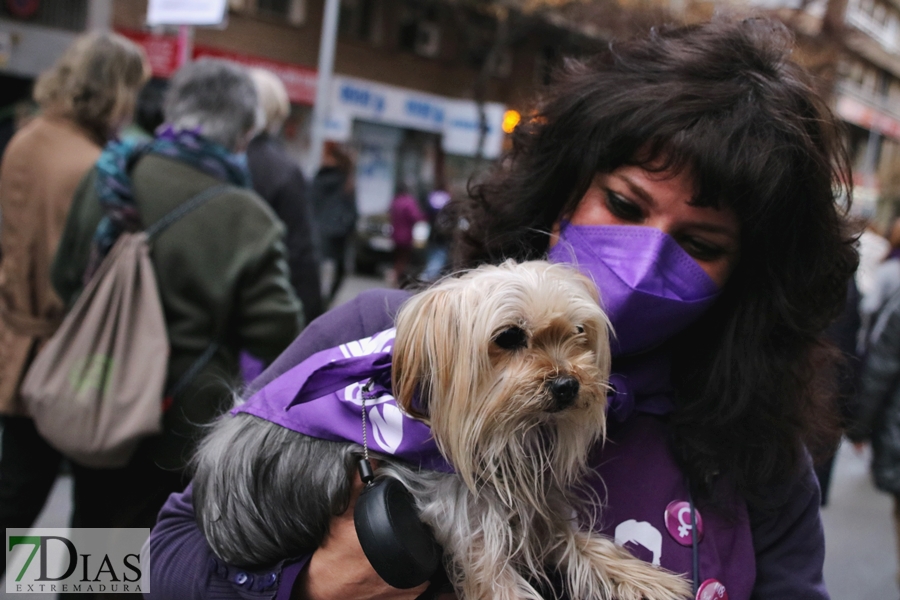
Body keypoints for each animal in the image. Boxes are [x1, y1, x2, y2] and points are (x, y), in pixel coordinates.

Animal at [195, 262, 688, 600]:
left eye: (578, 332)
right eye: (509, 337)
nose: (568, 385)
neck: (505, 434)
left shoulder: (533, 507)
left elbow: (586, 545)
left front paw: (648, 582)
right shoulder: (469, 530)